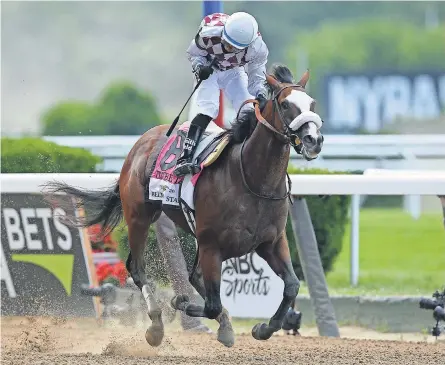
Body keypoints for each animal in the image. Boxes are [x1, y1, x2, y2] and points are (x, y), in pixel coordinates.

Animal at [43, 62, 322, 346]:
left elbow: (291, 286)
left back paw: (223, 325)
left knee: (194, 278)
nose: (314, 140)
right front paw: (180, 302)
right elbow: (209, 302)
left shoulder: (271, 242)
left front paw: (263, 328)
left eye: (312, 103)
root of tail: (142, 142)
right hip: (139, 218)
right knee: (138, 269)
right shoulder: (211, 245)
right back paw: (156, 326)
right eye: (286, 105)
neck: (252, 180)